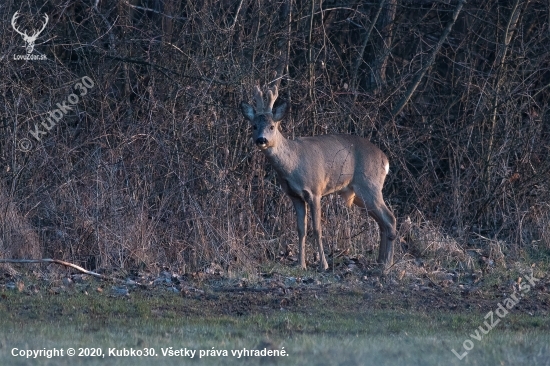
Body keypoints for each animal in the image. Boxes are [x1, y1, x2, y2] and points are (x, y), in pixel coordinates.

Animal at [242, 84, 396, 270]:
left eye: (272, 126)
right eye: (254, 126)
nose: (261, 140)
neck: (293, 164)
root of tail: (385, 160)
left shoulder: (315, 191)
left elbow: (317, 229)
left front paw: (324, 264)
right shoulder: (294, 196)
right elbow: (301, 229)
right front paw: (301, 264)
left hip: (369, 185)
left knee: (390, 218)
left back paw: (387, 264)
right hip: (360, 194)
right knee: (382, 222)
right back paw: (381, 261)